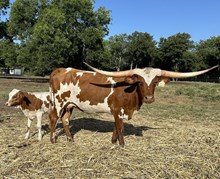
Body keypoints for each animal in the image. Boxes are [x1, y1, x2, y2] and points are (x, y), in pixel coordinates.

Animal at [48, 63, 218, 146]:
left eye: (155, 82)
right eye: (140, 82)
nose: (149, 98)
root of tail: (60, 70)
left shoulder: (120, 112)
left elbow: (116, 128)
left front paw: (113, 142)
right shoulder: (117, 110)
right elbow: (120, 128)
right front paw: (122, 145)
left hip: (70, 104)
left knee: (65, 120)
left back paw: (70, 140)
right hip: (59, 102)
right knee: (53, 118)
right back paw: (53, 140)